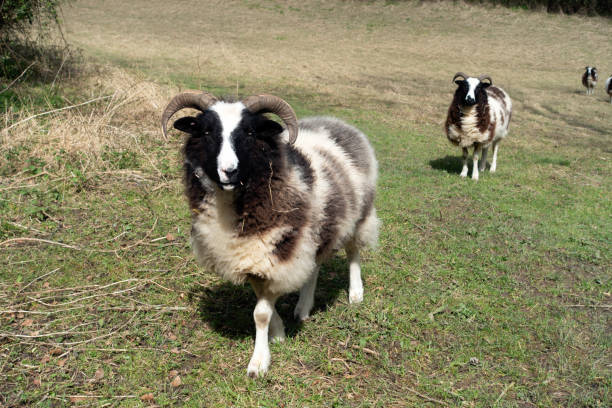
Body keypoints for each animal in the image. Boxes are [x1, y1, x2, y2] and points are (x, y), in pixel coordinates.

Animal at [160, 91, 380, 378]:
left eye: (250, 132)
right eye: (206, 131)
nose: (228, 171)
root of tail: (337, 122)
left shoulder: (277, 255)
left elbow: (260, 314)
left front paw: (259, 363)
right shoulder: (255, 257)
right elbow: (264, 304)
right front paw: (278, 333)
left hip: (359, 214)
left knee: (354, 251)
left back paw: (355, 294)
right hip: (312, 232)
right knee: (314, 267)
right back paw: (303, 308)